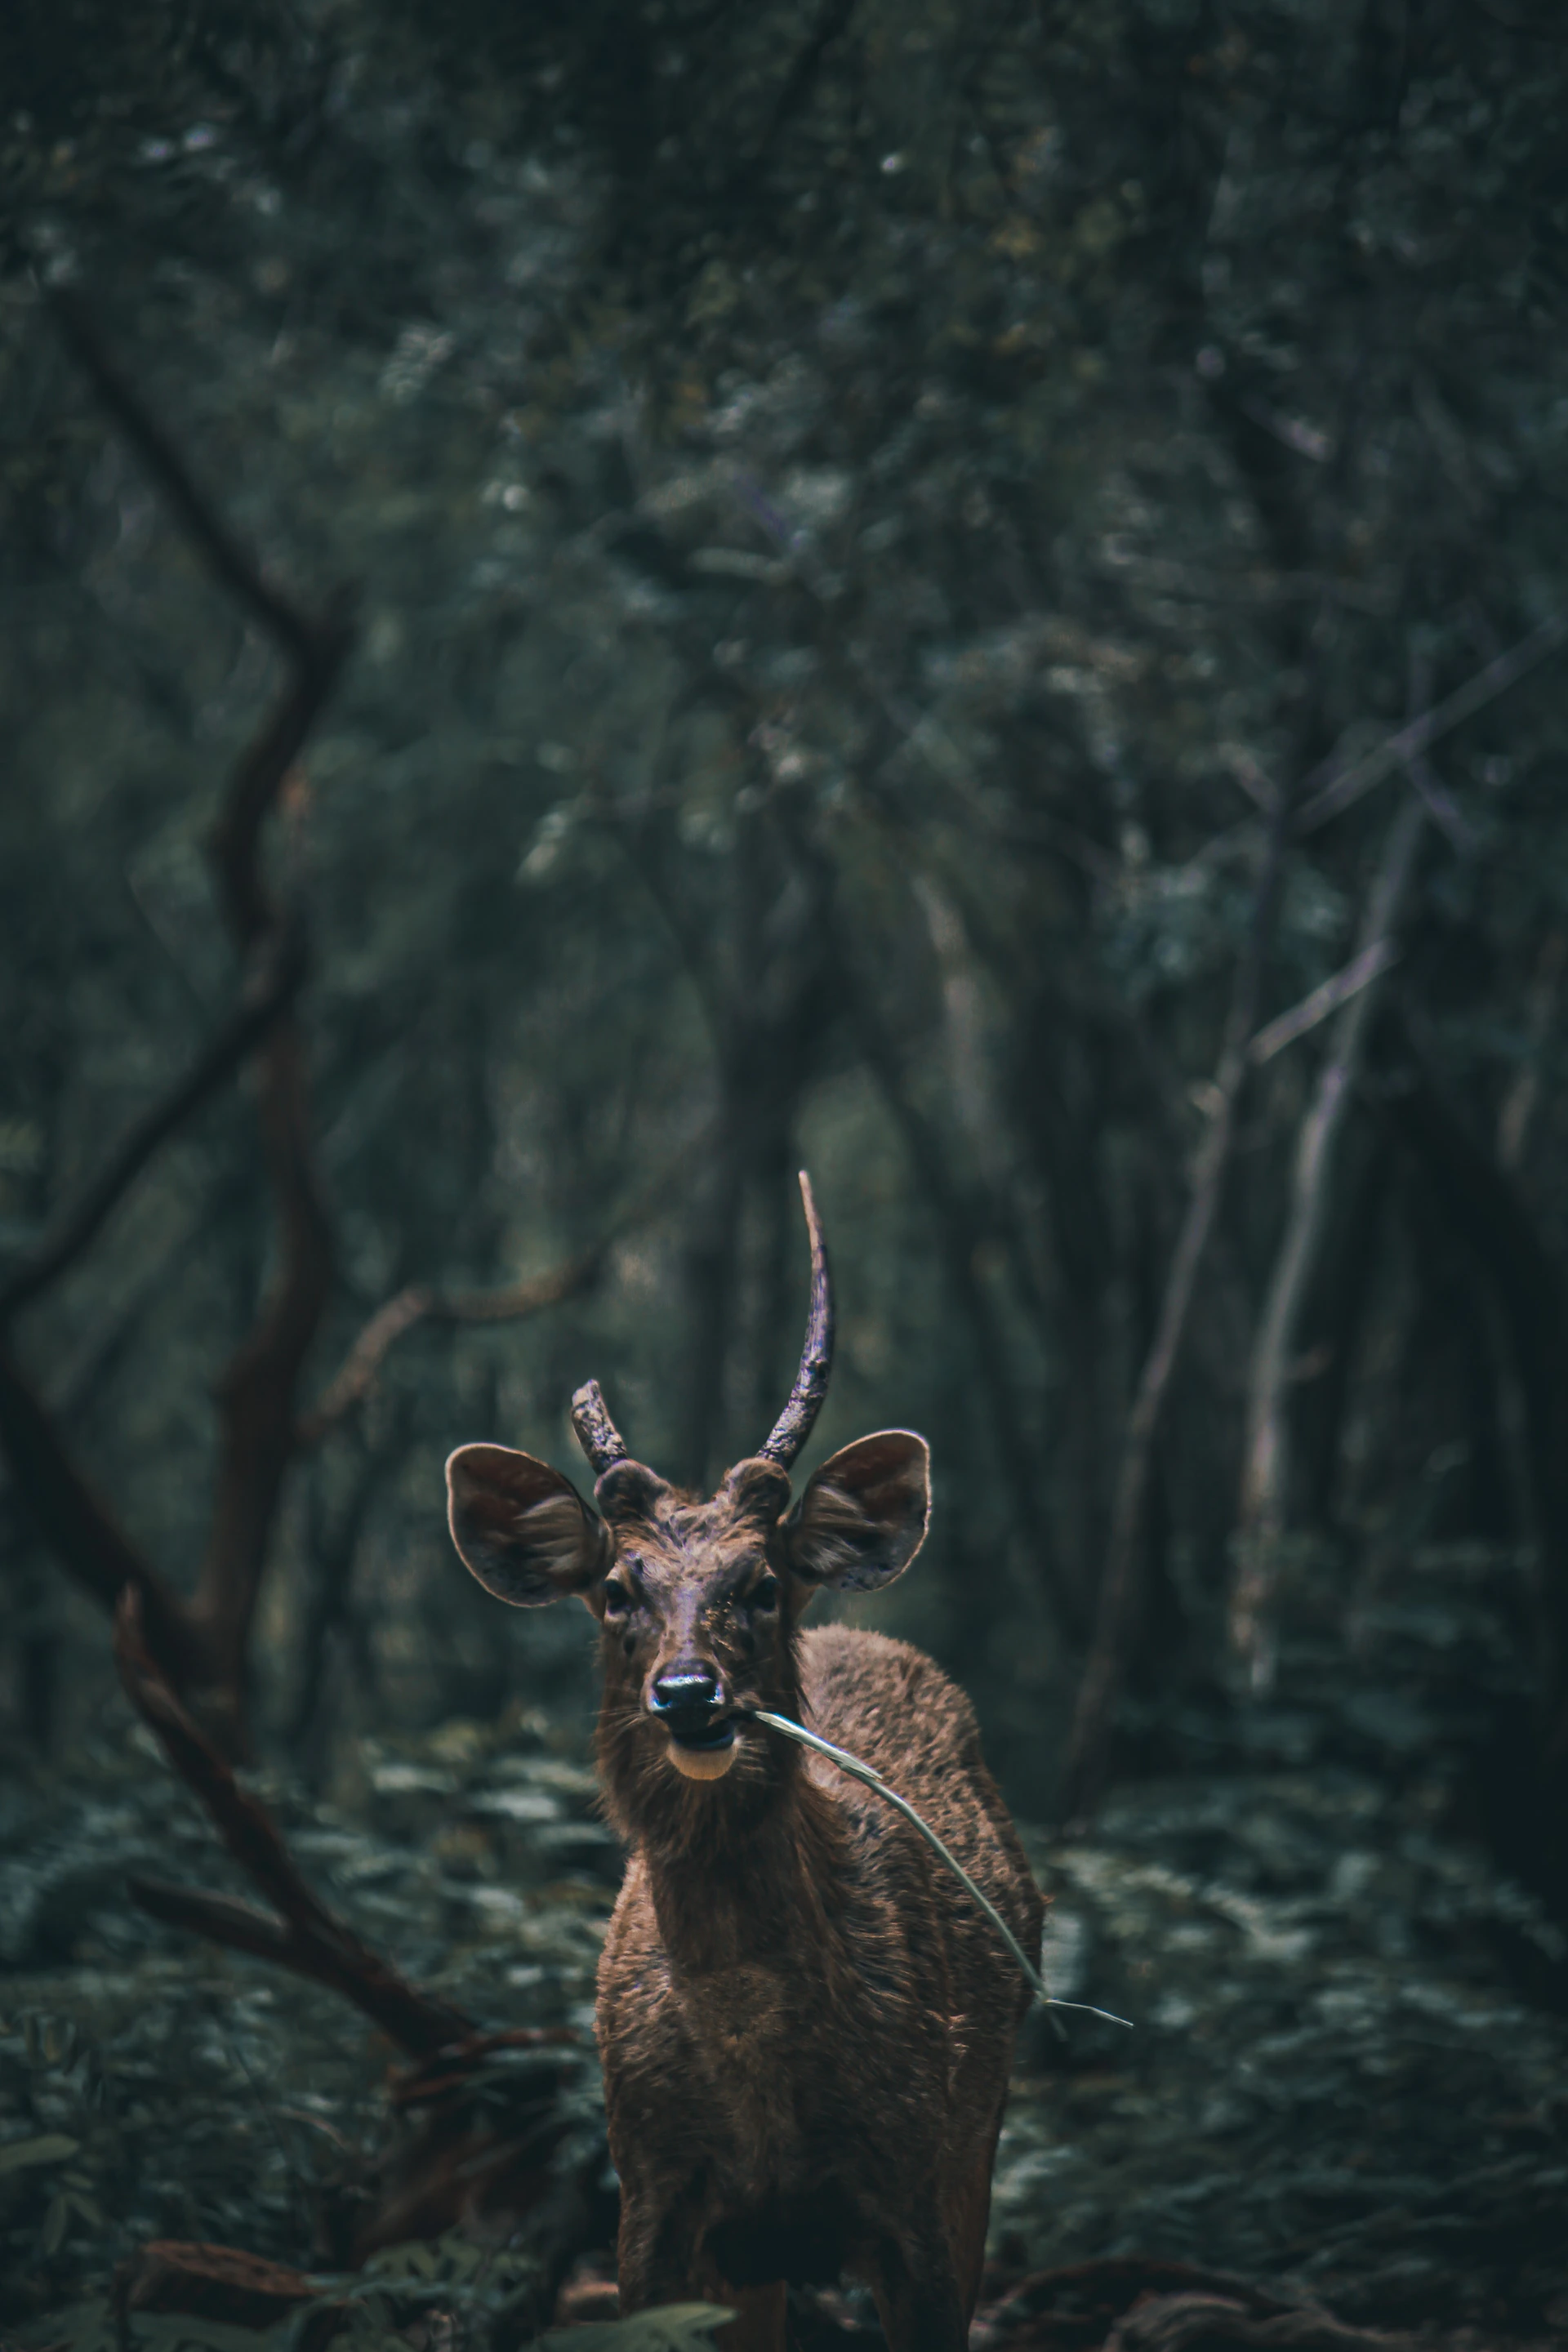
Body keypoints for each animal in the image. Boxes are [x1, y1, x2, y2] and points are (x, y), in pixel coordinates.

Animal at [445, 1176, 1044, 2351]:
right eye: (616, 1589)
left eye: (761, 1583)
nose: (689, 1693)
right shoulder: (651, 2197)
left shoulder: (922, 2187)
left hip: (985, 2126)